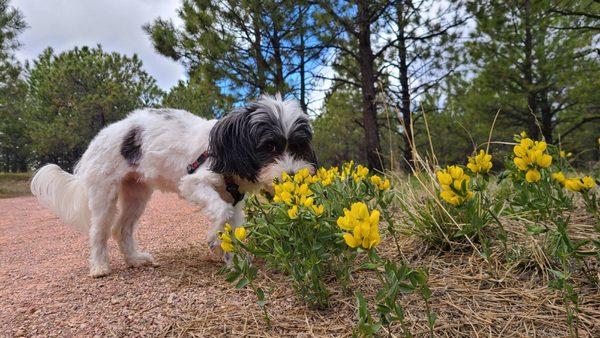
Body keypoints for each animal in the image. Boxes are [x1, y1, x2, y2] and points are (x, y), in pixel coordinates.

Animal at [30, 93, 316, 276]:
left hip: (136, 195)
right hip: (104, 194)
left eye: (298, 147)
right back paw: (100, 267)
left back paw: (134, 260)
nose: (292, 175)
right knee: (99, 232)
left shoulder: (234, 201)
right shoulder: (193, 182)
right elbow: (220, 212)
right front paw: (214, 239)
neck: (224, 150)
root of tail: (98, 138)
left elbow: (232, 228)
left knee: (122, 229)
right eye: (269, 147)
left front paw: (234, 261)